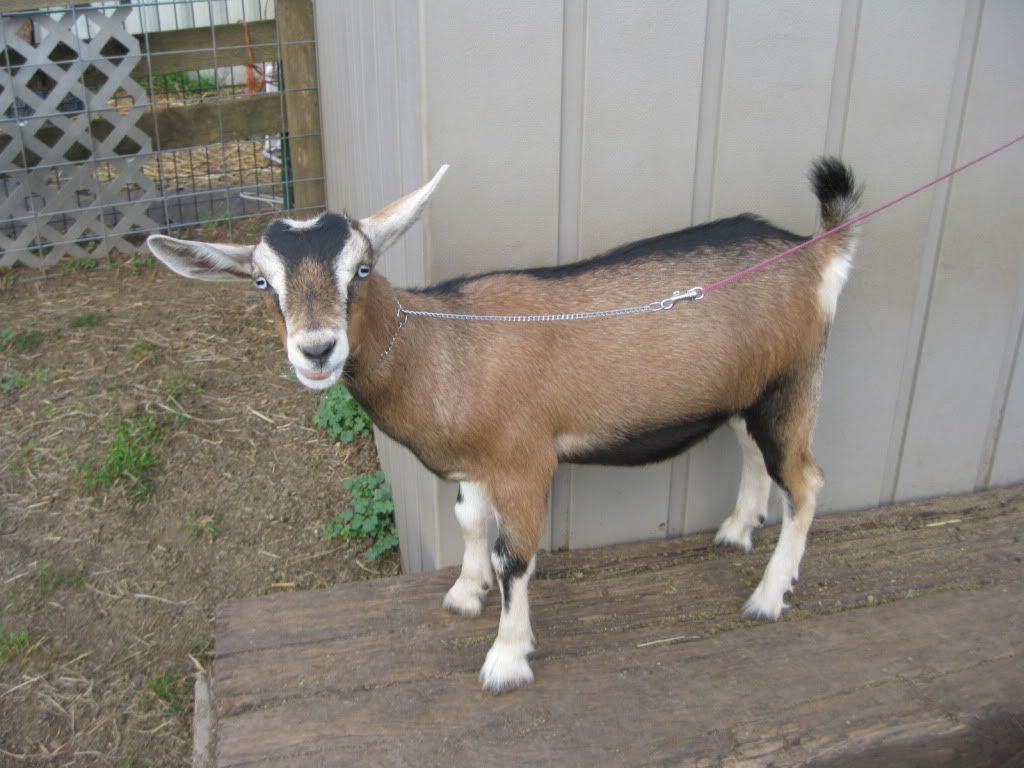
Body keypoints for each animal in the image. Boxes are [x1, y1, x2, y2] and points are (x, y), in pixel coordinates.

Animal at [146, 157, 861, 693]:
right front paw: (466, 594)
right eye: (262, 283)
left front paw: (506, 659)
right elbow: (468, 523)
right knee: (756, 455)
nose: (317, 350)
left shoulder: (524, 462)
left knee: (807, 481)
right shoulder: (477, 463)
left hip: (795, 378)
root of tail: (817, 253)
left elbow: (514, 556)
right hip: (752, 390)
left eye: (363, 269)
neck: (443, 348)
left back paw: (768, 595)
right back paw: (737, 531)